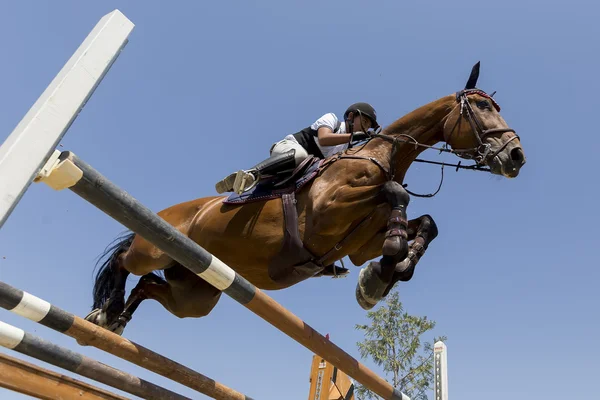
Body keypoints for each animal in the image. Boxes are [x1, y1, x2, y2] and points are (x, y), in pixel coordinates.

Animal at [84, 62, 524, 334]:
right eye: (482, 106)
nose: (516, 155)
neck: (380, 155)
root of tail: (167, 213)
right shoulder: (328, 210)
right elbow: (396, 193)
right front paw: (384, 270)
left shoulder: (362, 242)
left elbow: (425, 226)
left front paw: (383, 276)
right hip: (154, 248)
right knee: (127, 263)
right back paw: (106, 309)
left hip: (196, 291)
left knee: (151, 287)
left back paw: (115, 320)